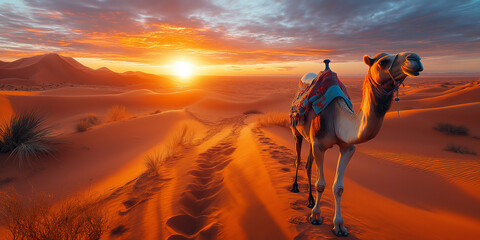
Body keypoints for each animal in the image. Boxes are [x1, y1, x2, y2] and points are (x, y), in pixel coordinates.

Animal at [288, 52, 420, 236]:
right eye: (383, 62)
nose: (414, 58)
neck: (337, 117)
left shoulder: (347, 148)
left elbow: (338, 187)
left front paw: (339, 226)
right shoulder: (319, 146)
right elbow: (320, 184)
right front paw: (316, 217)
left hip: (310, 139)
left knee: (308, 164)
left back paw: (310, 200)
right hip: (297, 132)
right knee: (298, 159)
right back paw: (295, 187)